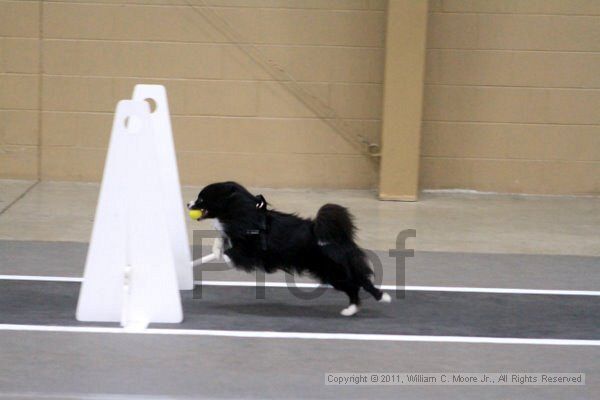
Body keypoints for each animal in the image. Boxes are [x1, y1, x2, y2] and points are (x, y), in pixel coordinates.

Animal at [190, 181, 392, 316]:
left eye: (201, 198)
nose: (187, 204)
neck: (240, 211)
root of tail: (336, 238)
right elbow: (221, 240)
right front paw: (215, 250)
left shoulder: (250, 251)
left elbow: (231, 252)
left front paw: (220, 256)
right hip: (337, 270)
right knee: (359, 283)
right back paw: (362, 305)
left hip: (333, 272)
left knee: (356, 284)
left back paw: (362, 305)